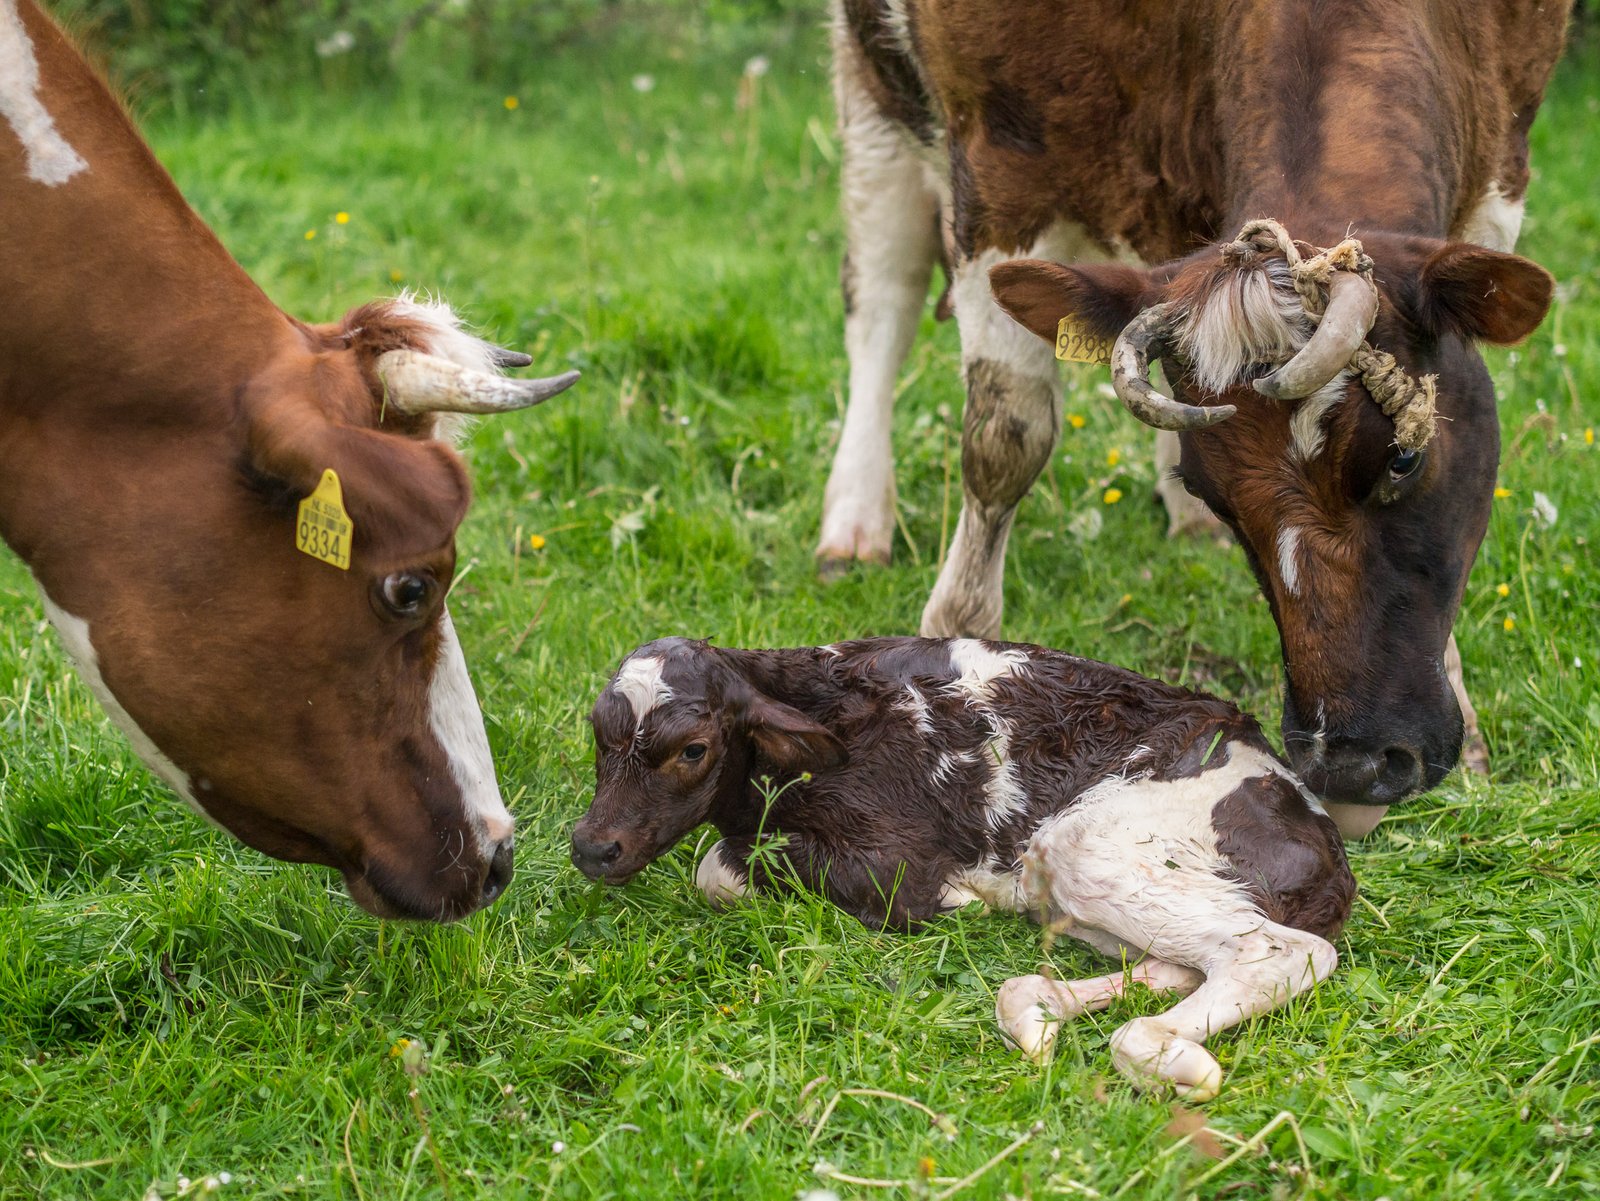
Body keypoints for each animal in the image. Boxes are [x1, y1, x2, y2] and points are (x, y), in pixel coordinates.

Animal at [572, 636, 1356, 1100]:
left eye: (693, 750)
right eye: (598, 735)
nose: (590, 847)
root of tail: (1321, 834)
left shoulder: (895, 859)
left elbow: (717, 870)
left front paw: (960, 900)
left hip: (1088, 845)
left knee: (1280, 952)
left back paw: (1166, 1053)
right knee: (1187, 961)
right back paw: (1038, 1009)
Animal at [814, 0, 1568, 831]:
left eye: (1403, 458)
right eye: (1217, 490)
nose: (1352, 764)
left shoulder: (1498, 156)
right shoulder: (997, 158)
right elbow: (1007, 438)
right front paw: (958, 637)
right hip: (875, 94)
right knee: (883, 300)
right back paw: (854, 521)